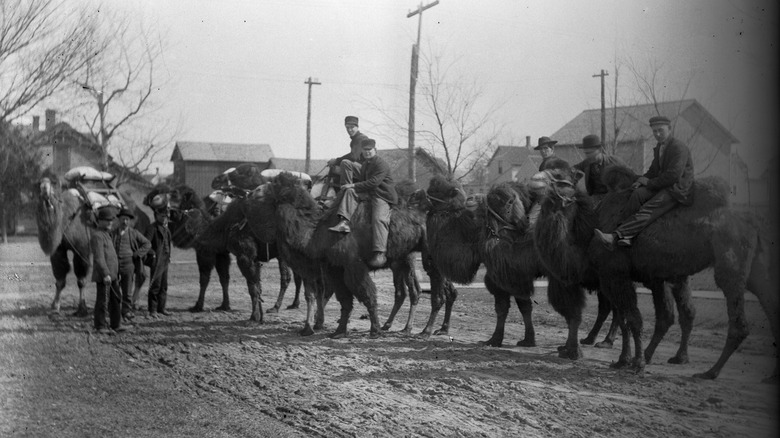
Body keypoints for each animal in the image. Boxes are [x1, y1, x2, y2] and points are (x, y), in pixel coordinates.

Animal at [420, 175, 584, 360]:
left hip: (562, 276)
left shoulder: (500, 276)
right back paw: (565, 348)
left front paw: (494, 339)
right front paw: (528, 340)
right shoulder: (515, 277)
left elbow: (502, 308)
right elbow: (524, 307)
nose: (423, 196)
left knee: (572, 310)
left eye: (435, 190)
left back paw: (572, 351)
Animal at [532, 161, 776, 380]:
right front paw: (622, 361)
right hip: (754, 268)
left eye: (560, 175)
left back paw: (709, 372)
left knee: (737, 321)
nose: (534, 179)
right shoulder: (614, 278)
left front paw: (636, 363)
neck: (588, 236)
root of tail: (755, 222)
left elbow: (632, 319)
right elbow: (625, 320)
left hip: (730, 264)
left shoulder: (614, 275)